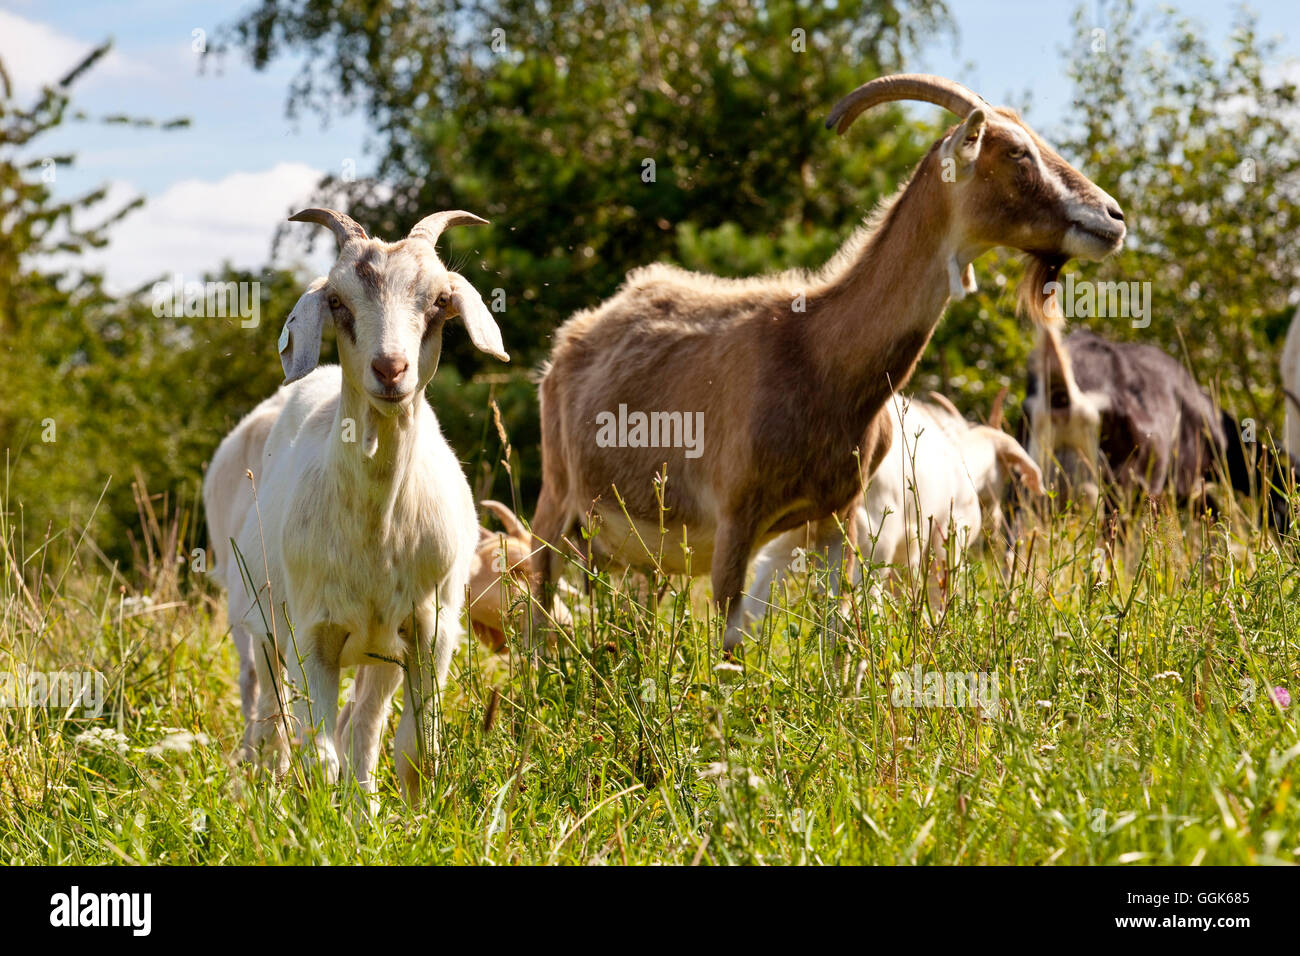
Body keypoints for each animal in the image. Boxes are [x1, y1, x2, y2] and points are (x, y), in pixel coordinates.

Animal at [204, 209, 506, 801]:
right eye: (338, 301)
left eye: (440, 300)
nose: (390, 369)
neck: (378, 529)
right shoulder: (311, 634)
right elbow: (319, 756)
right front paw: (323, 816)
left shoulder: (430, 631)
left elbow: (414, 750)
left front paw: (412, 817)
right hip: (254, 622)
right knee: (267, 722)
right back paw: (262, 795)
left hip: (377, 652)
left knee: (362, 727)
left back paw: (362, 806)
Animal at [748, 392, 1040, 624]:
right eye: (1009, 471)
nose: (998, 517)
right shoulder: (948, 539)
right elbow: (937, 594)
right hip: (870, 545)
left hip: (787, 537)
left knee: (753, 607)